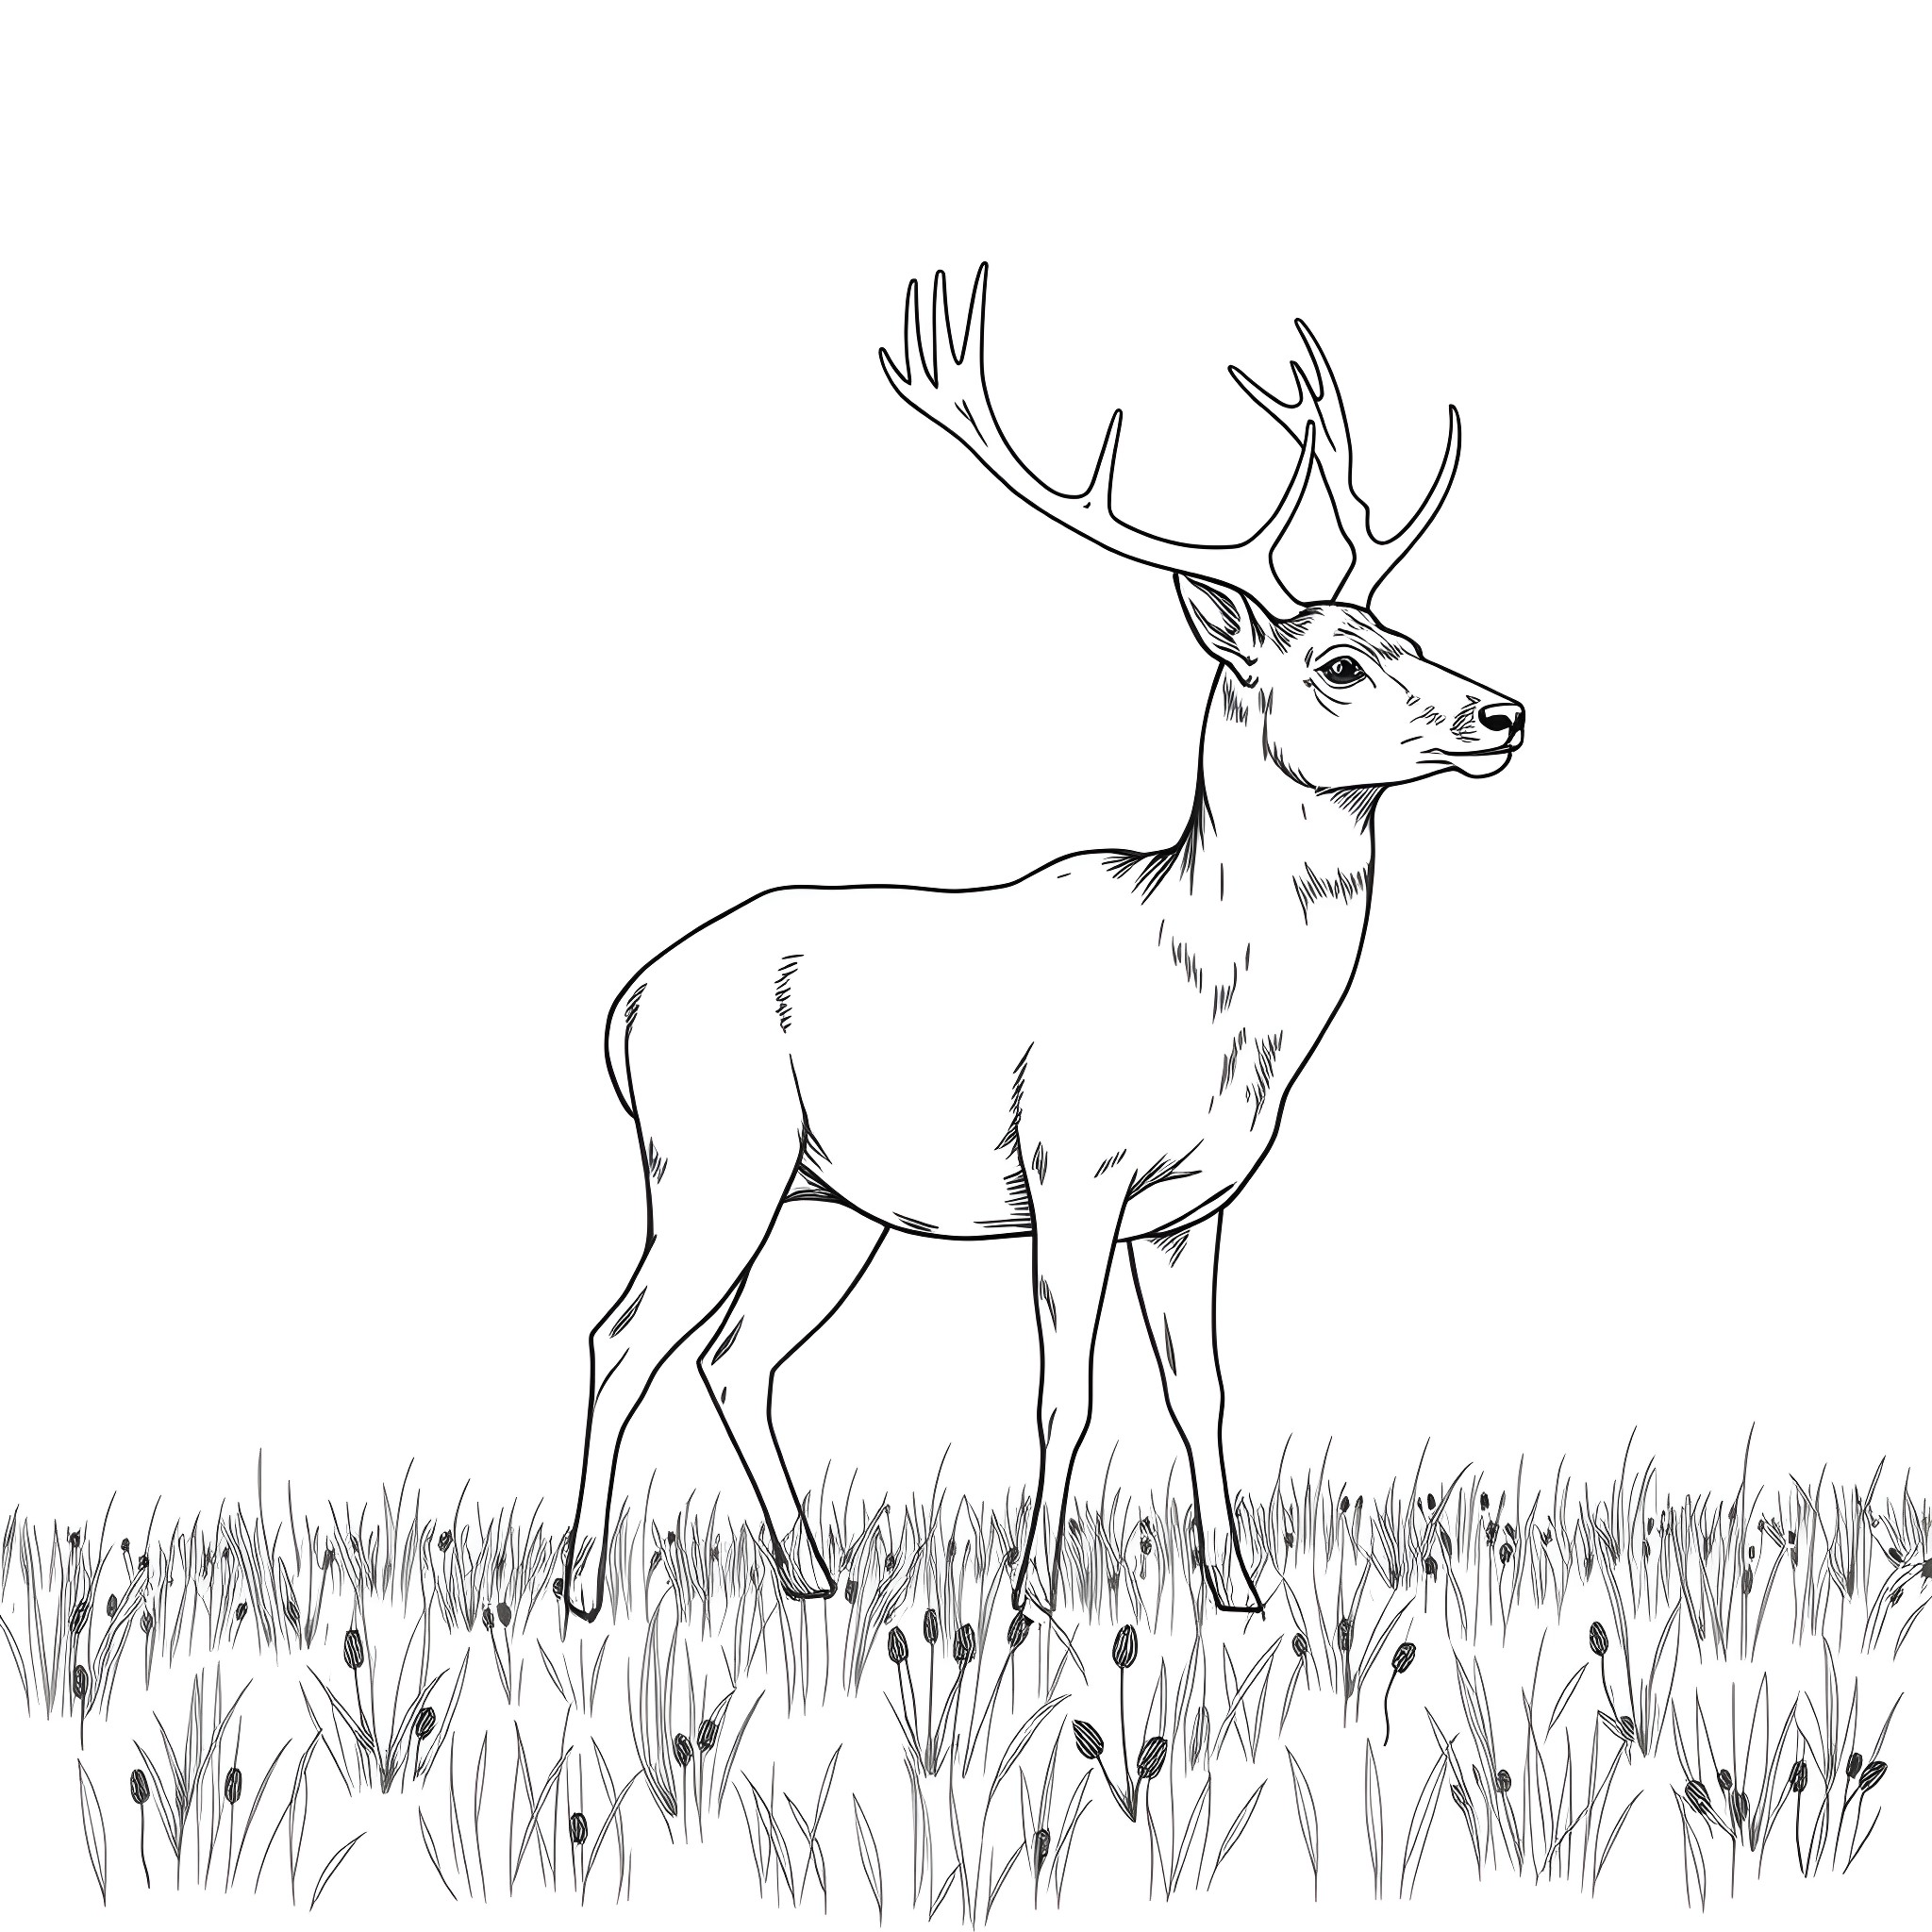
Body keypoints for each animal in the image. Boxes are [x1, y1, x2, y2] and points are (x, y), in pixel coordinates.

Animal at [564, 265, 1523, 1624]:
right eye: (1339, 664)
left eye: (1418, 637)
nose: (1506, 713)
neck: (1218, 1000)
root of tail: (624, 1004)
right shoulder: (1073, 1164)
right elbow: (1062, 1393)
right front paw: (1028, 1600)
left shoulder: (1191, 1205)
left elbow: (1200, 1391)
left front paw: (1238, 1591)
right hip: (709, 1157)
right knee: (622, 1335)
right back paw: (584, 1591)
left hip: (829, 1200)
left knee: (736, 1357)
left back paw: (813, 1574)